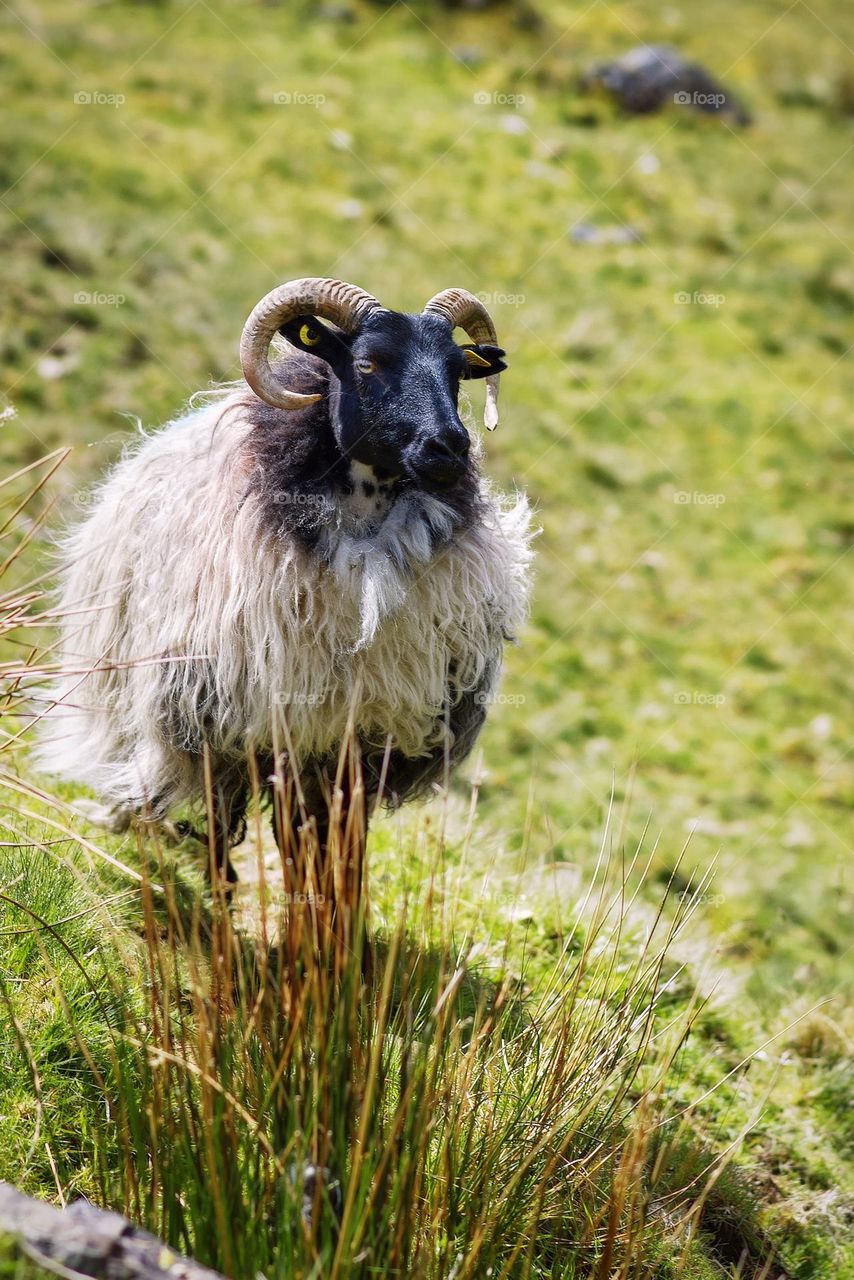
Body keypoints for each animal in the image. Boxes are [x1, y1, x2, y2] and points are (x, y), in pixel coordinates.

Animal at [37, 278, 535, 888]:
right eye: (367, 363)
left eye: (458, 371)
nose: (451, 447)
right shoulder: (254, 725)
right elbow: (275, 837)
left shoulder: (359, 737)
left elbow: (341, 846)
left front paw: (337, 912)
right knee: (214, 822)